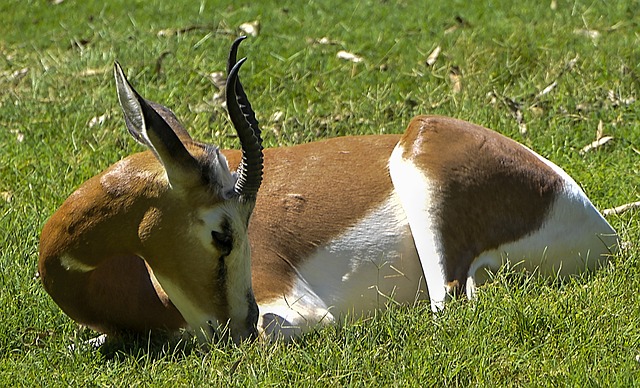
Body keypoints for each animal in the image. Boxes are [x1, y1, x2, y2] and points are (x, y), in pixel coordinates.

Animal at [37, 38, 616, 342]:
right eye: (223, 233)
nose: (242, 323)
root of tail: (602, 228)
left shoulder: (292, 311)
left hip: (424, 177)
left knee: (448, 302)